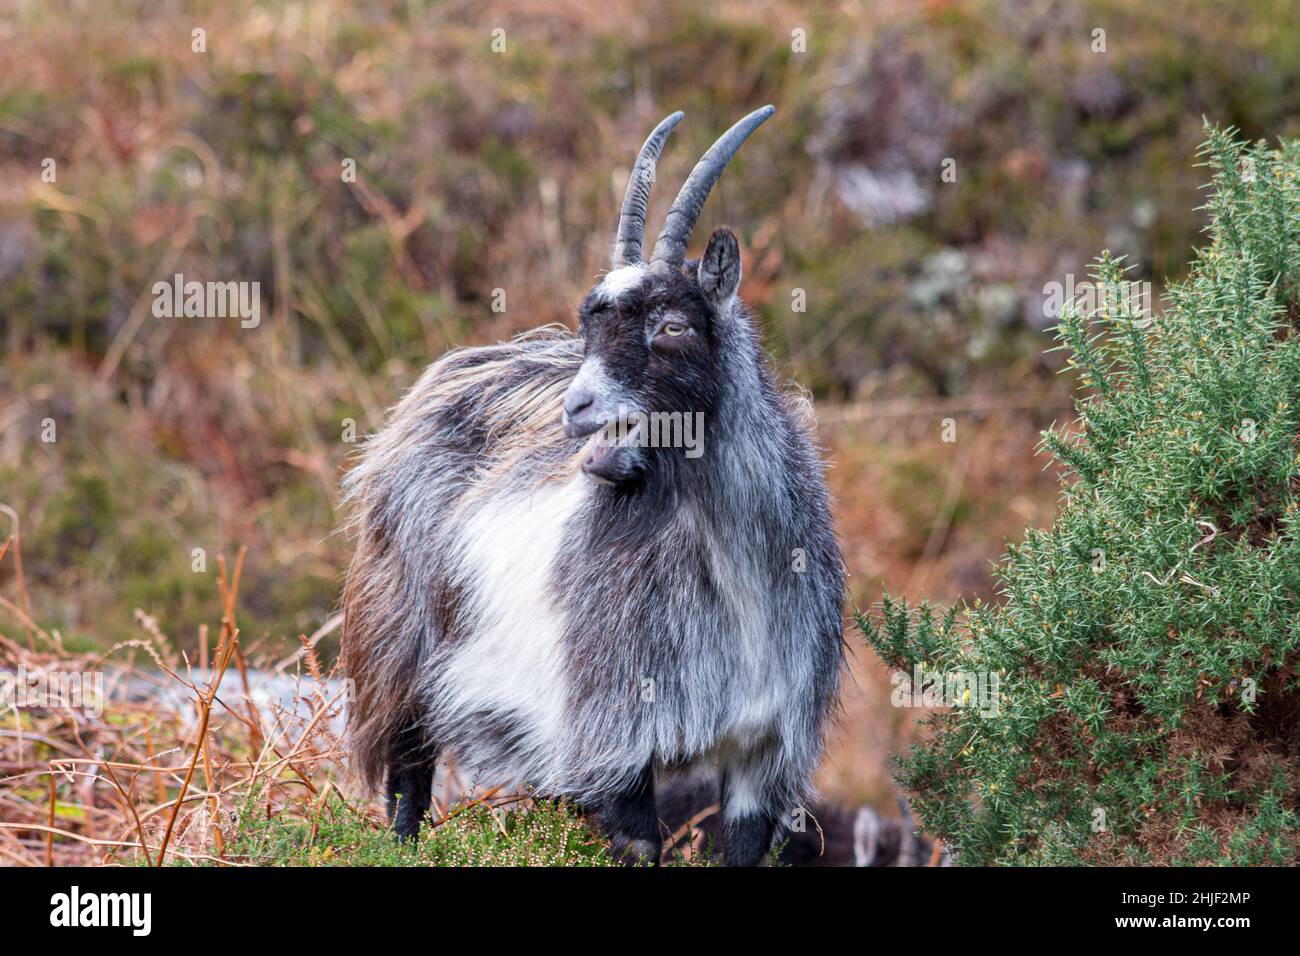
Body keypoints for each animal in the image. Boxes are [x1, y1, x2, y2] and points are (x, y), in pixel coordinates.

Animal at [340, 107, 845, 866]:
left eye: (673, 324)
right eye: (590, 322)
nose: (575, 408)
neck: (736, 578)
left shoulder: (766, 749)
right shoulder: (617, 728)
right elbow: (638, 842)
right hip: (395, 642)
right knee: (409, 769)